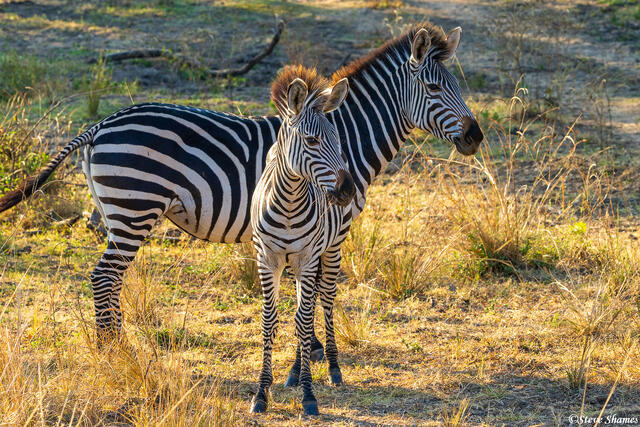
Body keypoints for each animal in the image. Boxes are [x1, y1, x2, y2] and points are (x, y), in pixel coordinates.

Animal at [0, 22, 482, 374]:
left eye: (457, 86)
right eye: (435, 89)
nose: (476, 137)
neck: (346, 138)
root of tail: (102, 122)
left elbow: (304, 292)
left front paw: (308, 350)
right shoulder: (333, 225)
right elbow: (321, 291)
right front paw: (320, 354)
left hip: (117, 212)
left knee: (108, 278)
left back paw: (114, 347)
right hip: (134, 209)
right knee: (104, 277)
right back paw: (114, 352)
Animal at [250, 66, 353, 416]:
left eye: (338, 140)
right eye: (312, 140)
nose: (347, 190)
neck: (289, 205)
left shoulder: (308, 258)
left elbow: (305, 320)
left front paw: (309, 394)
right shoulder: (267, 258)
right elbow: (270, 321)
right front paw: (261, 392)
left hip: (332, 249)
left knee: (324, 301)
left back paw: (332, 368)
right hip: (293, 264)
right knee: (299, 310)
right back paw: (294, 371)